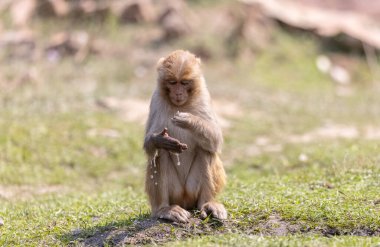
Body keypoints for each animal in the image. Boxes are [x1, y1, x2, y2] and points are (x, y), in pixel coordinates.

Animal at [142, 49, 226, 223]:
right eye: (173, 82)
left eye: (185, 82)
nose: (178, 93)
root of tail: (186, 201)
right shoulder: (156, 99)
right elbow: (150, 145)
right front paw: (159, 139)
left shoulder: (204, 96)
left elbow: (215, 140)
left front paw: (189, 121)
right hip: (176, 193)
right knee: (162, 153)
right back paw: (165, 209)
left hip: (192, 190)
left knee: (205, 149)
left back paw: (207, 203)